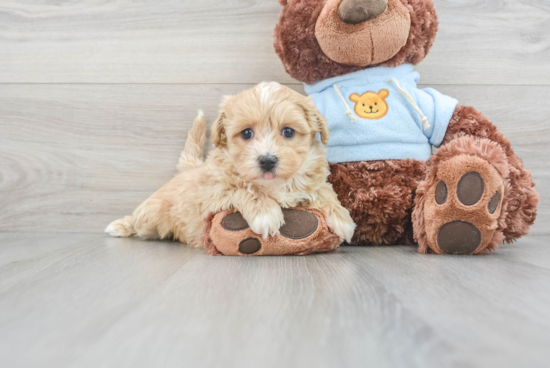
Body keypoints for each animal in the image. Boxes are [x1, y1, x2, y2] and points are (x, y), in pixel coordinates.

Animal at [106, 82, 358, 247]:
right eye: (246, 133)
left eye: (288, 132)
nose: (267, 160)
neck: (273, 186)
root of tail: (189, 169)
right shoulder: (212, 193)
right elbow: (243, 189)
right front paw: (266, 213)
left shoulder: (312, 180)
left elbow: (324, 190)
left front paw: (342, 218)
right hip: (152, 214)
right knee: (139, 220)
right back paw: (119, 226)